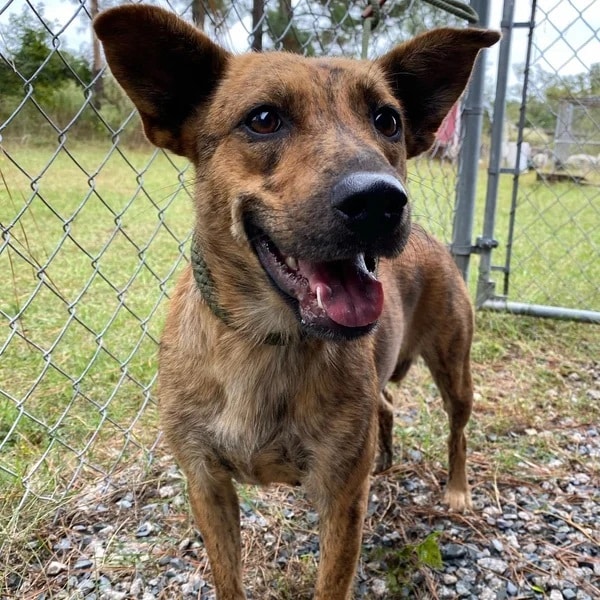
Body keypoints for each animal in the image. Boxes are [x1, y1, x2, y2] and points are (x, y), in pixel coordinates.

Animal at [96, 7, 500, 596]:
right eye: (263, 119)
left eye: (388, 121)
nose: (381, 202)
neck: (266, 339)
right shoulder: (206, 483)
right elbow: (227, 576)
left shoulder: (341, 497)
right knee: (386, 405)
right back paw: (385, 457)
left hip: (455, 368)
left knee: (458, 430)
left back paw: (457, 489)